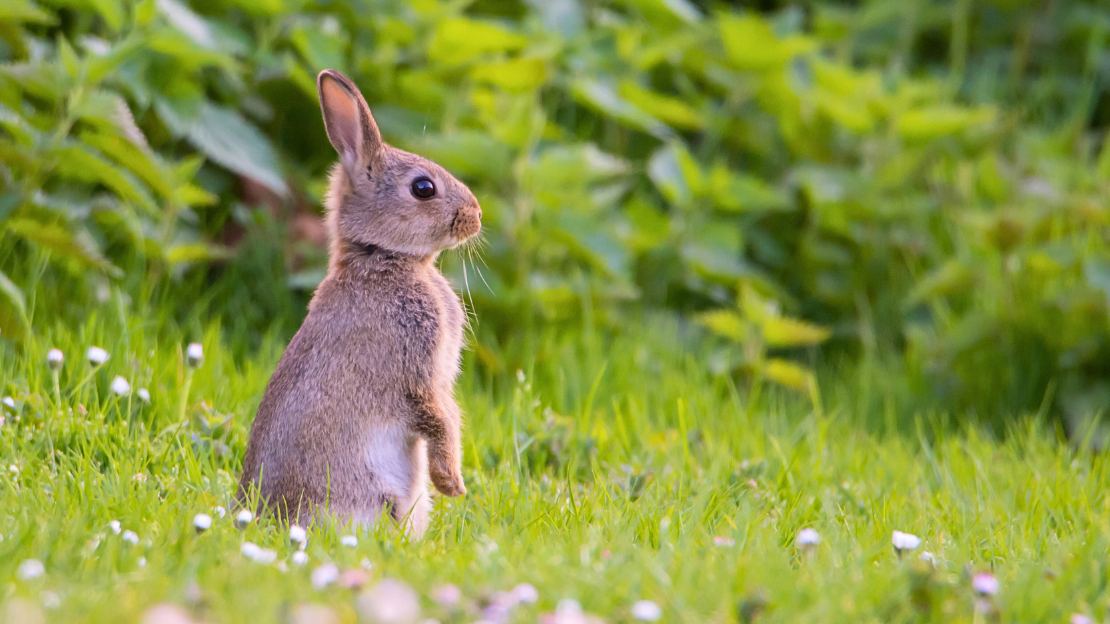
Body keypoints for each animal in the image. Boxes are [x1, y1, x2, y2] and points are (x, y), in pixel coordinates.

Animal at [238, 69, 481, 536]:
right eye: (423, 188)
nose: (476, 216)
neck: (382, 258)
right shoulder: (416, 371)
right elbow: (438, 418)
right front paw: (452, 483)